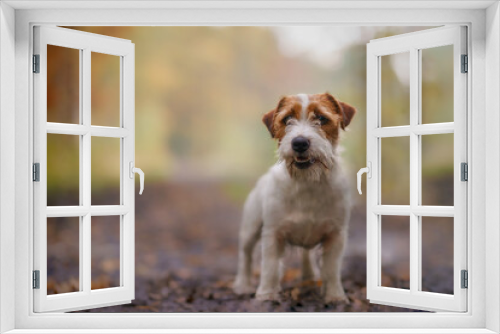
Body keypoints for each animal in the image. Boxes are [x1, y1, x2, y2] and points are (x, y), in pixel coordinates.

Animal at [233, 92, 356, 302]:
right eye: (287, 119)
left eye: (321, 118)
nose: (299, 143)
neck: (307, 182)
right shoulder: (272, 233)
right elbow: (270, 267)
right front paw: (266, 295)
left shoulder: (336, 234)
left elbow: (332, 269)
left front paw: (335, 296)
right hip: (250, 228)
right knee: (245, 255)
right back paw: (242, 285)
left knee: (306, 255)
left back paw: (309, 277)